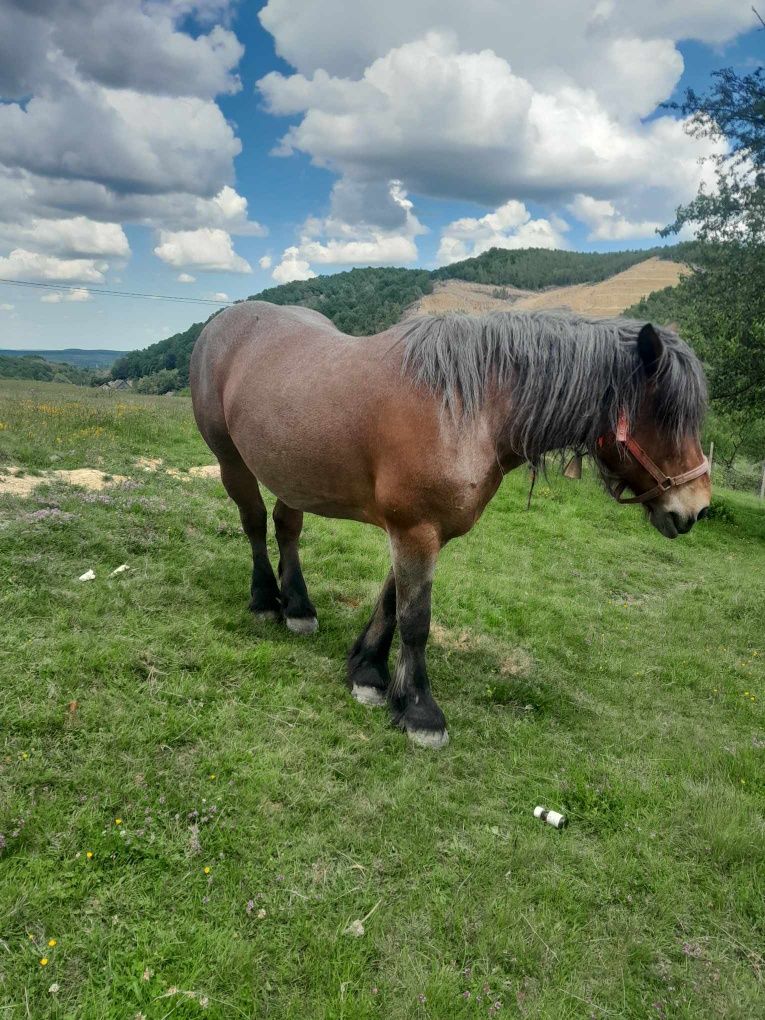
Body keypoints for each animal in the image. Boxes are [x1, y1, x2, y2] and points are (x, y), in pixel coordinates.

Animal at [191, 301, 714, 750]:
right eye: (666, 416)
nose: (696, 509)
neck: (466, 410)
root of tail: (225, 321)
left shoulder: (419, 532)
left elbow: (390, 604)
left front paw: (369, 674)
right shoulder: (414, 530)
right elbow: (415, 620)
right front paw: (421, 712)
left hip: (292, 474)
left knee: (287, 527)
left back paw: (298, 607)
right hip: (233, 462)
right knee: (255, 524)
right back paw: (264, 600)